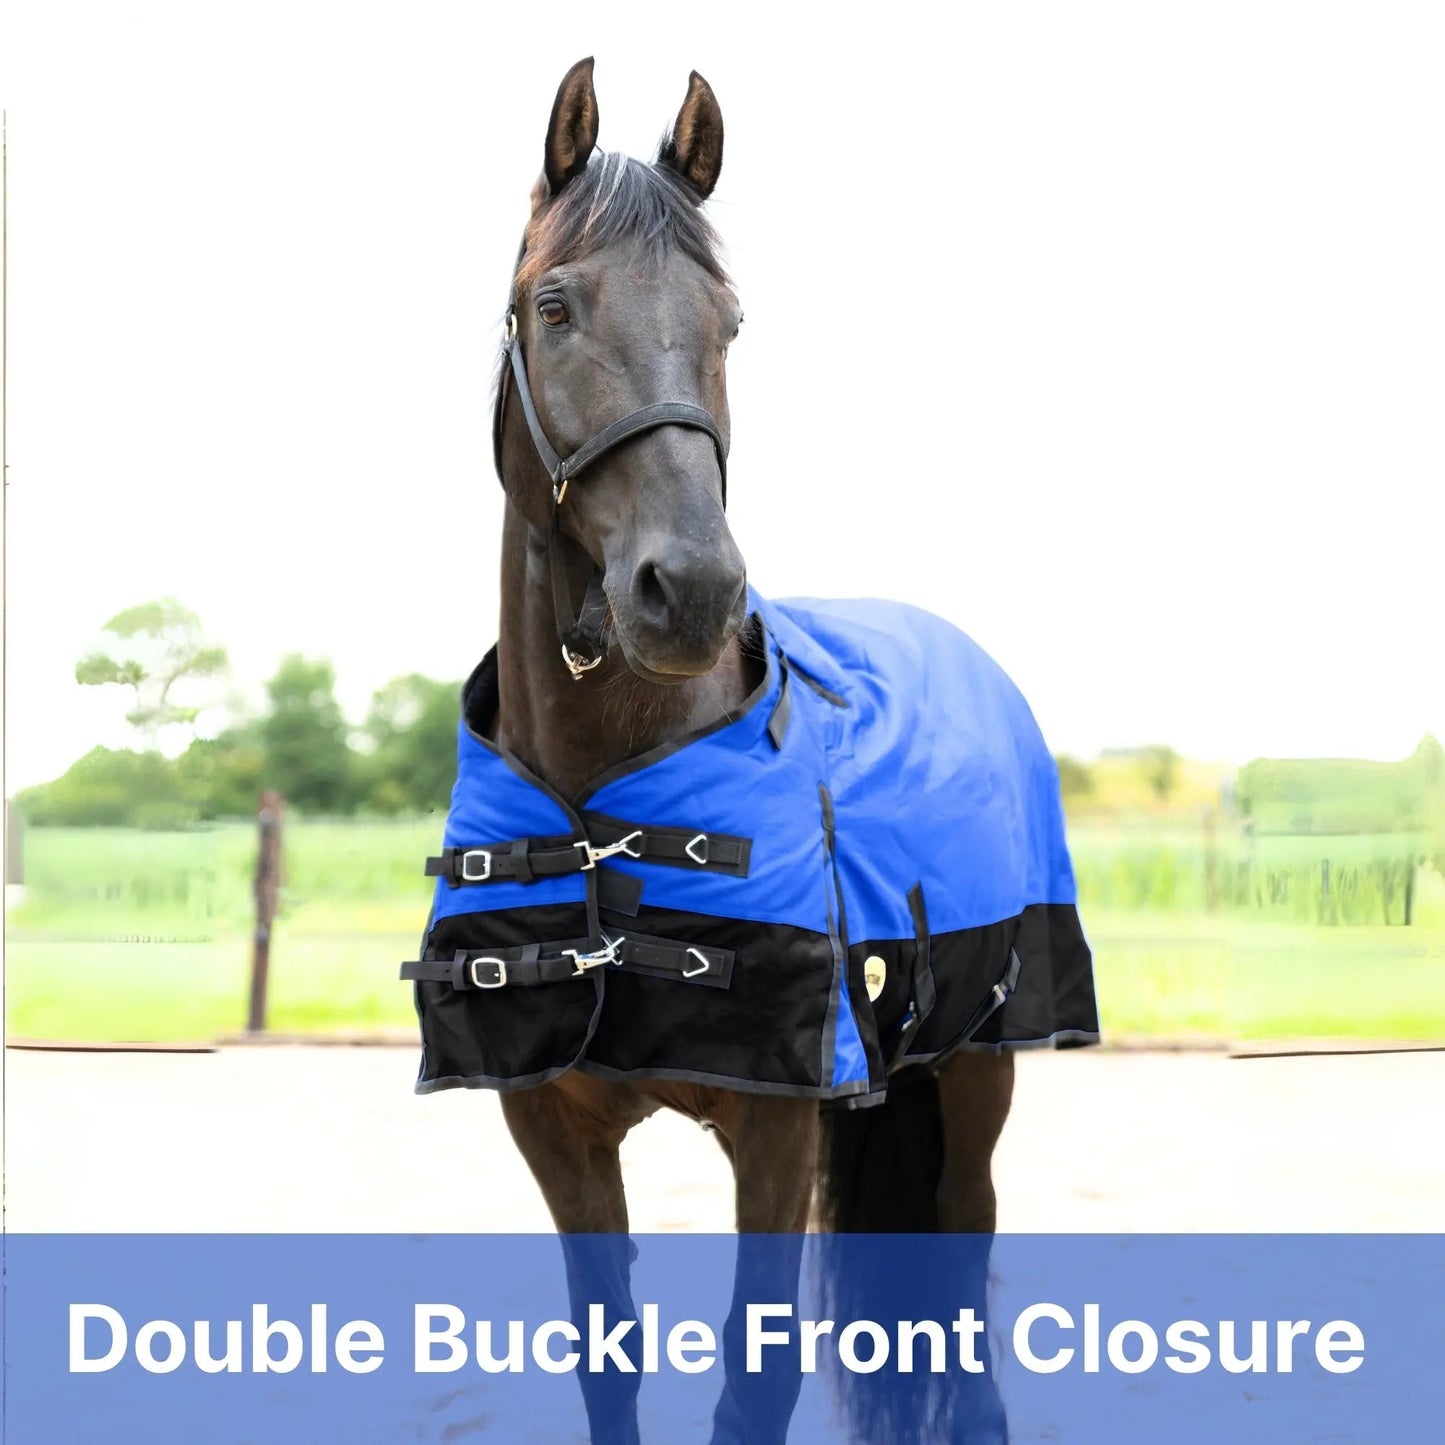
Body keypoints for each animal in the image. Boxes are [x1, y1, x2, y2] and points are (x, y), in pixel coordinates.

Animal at [402, 57, 1098, 1444]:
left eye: (728, 321)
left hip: (979, 1073)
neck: (603, 795)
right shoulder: (552, 1129)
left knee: (963, 1262)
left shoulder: (775, 1132)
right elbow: (607, 1359)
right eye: (553, 305)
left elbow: (752, 1375)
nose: (692, 592)